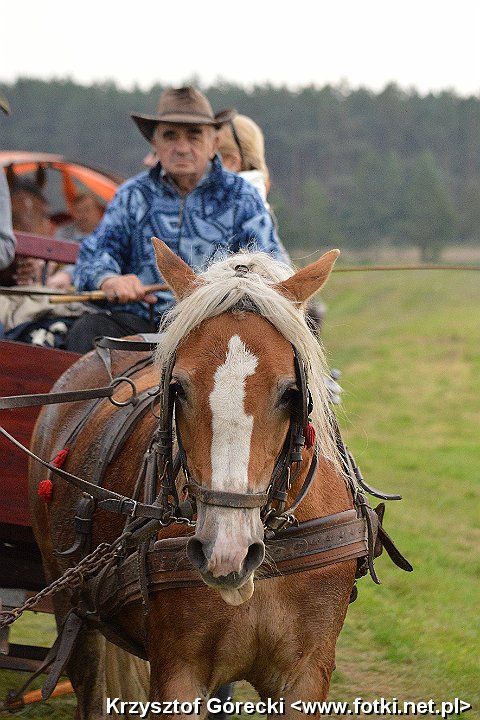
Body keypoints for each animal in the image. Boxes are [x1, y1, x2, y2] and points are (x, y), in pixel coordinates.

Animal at [27, 240, 375, 718]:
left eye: (290, 392)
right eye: (177, 387)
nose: (225, 551)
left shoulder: (307, 676)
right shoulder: (179, 673)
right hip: (71, 606)